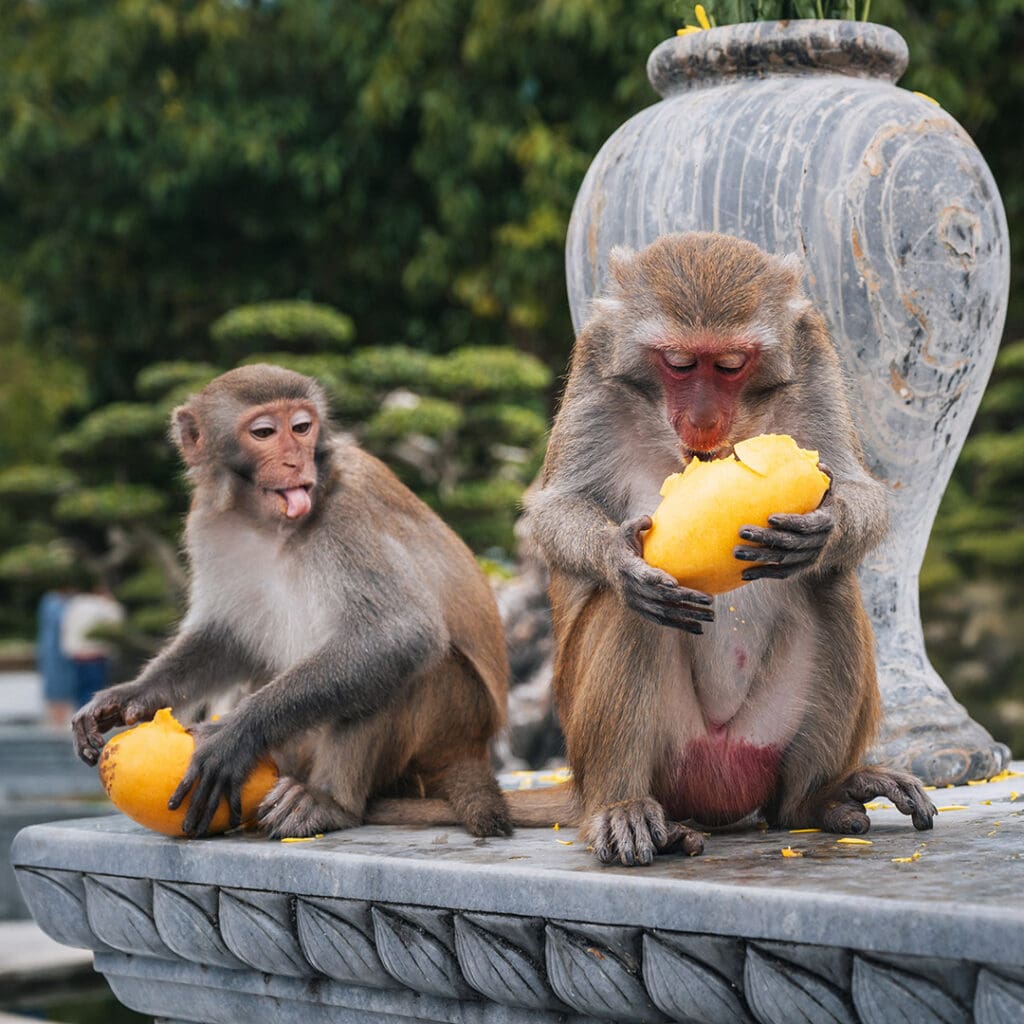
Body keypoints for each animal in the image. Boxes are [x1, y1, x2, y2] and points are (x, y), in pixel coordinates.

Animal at [72, 364, 512, 841]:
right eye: (264, 432)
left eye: (302, 428)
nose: (295, 461)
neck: (267, 523)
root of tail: (473, 749)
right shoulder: (206, 521)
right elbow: (225, 636)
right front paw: (129, 695)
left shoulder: (347, 514)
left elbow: (398, 632)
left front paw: (235, 735)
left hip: (452, 721)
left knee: (402, 666)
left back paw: (328, 803)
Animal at [515, 232, 936, 866]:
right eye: (679, 363)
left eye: (731, 365)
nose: (705, 420)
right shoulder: (596, 363)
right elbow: (555, 509)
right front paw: (617, 557)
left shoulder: (812, 356)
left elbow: (858, 490)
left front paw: (824, 526)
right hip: (646, 750)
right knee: (634, 609)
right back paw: (624, 808)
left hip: (760, 741)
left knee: (828, 582)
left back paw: (819, 798)